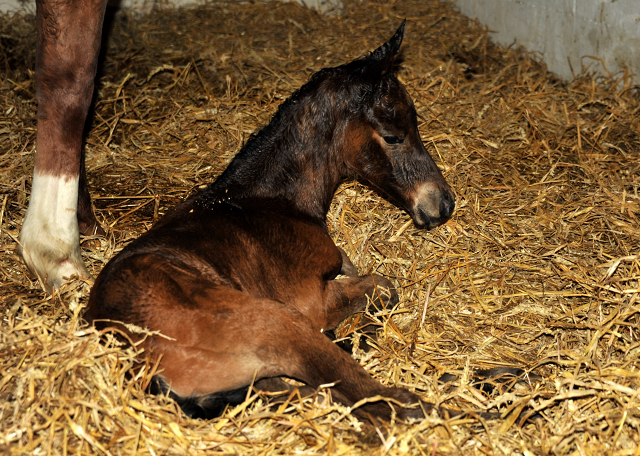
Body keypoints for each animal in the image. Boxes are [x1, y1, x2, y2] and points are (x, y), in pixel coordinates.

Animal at [84, 21, 456, 420]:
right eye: (392, 136)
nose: (443, 203)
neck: (272, 201)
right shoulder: (311, 303)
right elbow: (384, 287)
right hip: (282, 324)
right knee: (381, 401)